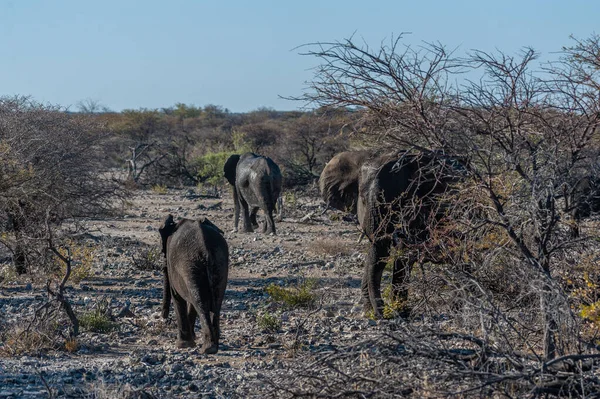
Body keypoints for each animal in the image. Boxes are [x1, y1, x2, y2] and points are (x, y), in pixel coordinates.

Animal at [159, 216, 230, 354]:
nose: (163, 318)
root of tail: (206, 249)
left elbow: (177, 296)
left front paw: (183, 345)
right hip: (219, 264)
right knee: (215, 301)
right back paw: (214, 345)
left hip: (190, 265)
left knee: (200, 302)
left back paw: (208, 348)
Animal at [318, 150, 464, 318]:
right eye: (363, 200)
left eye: (398, 203)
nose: (381, 313)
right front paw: (376, 311)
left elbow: (402, 253)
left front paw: (400, 312)